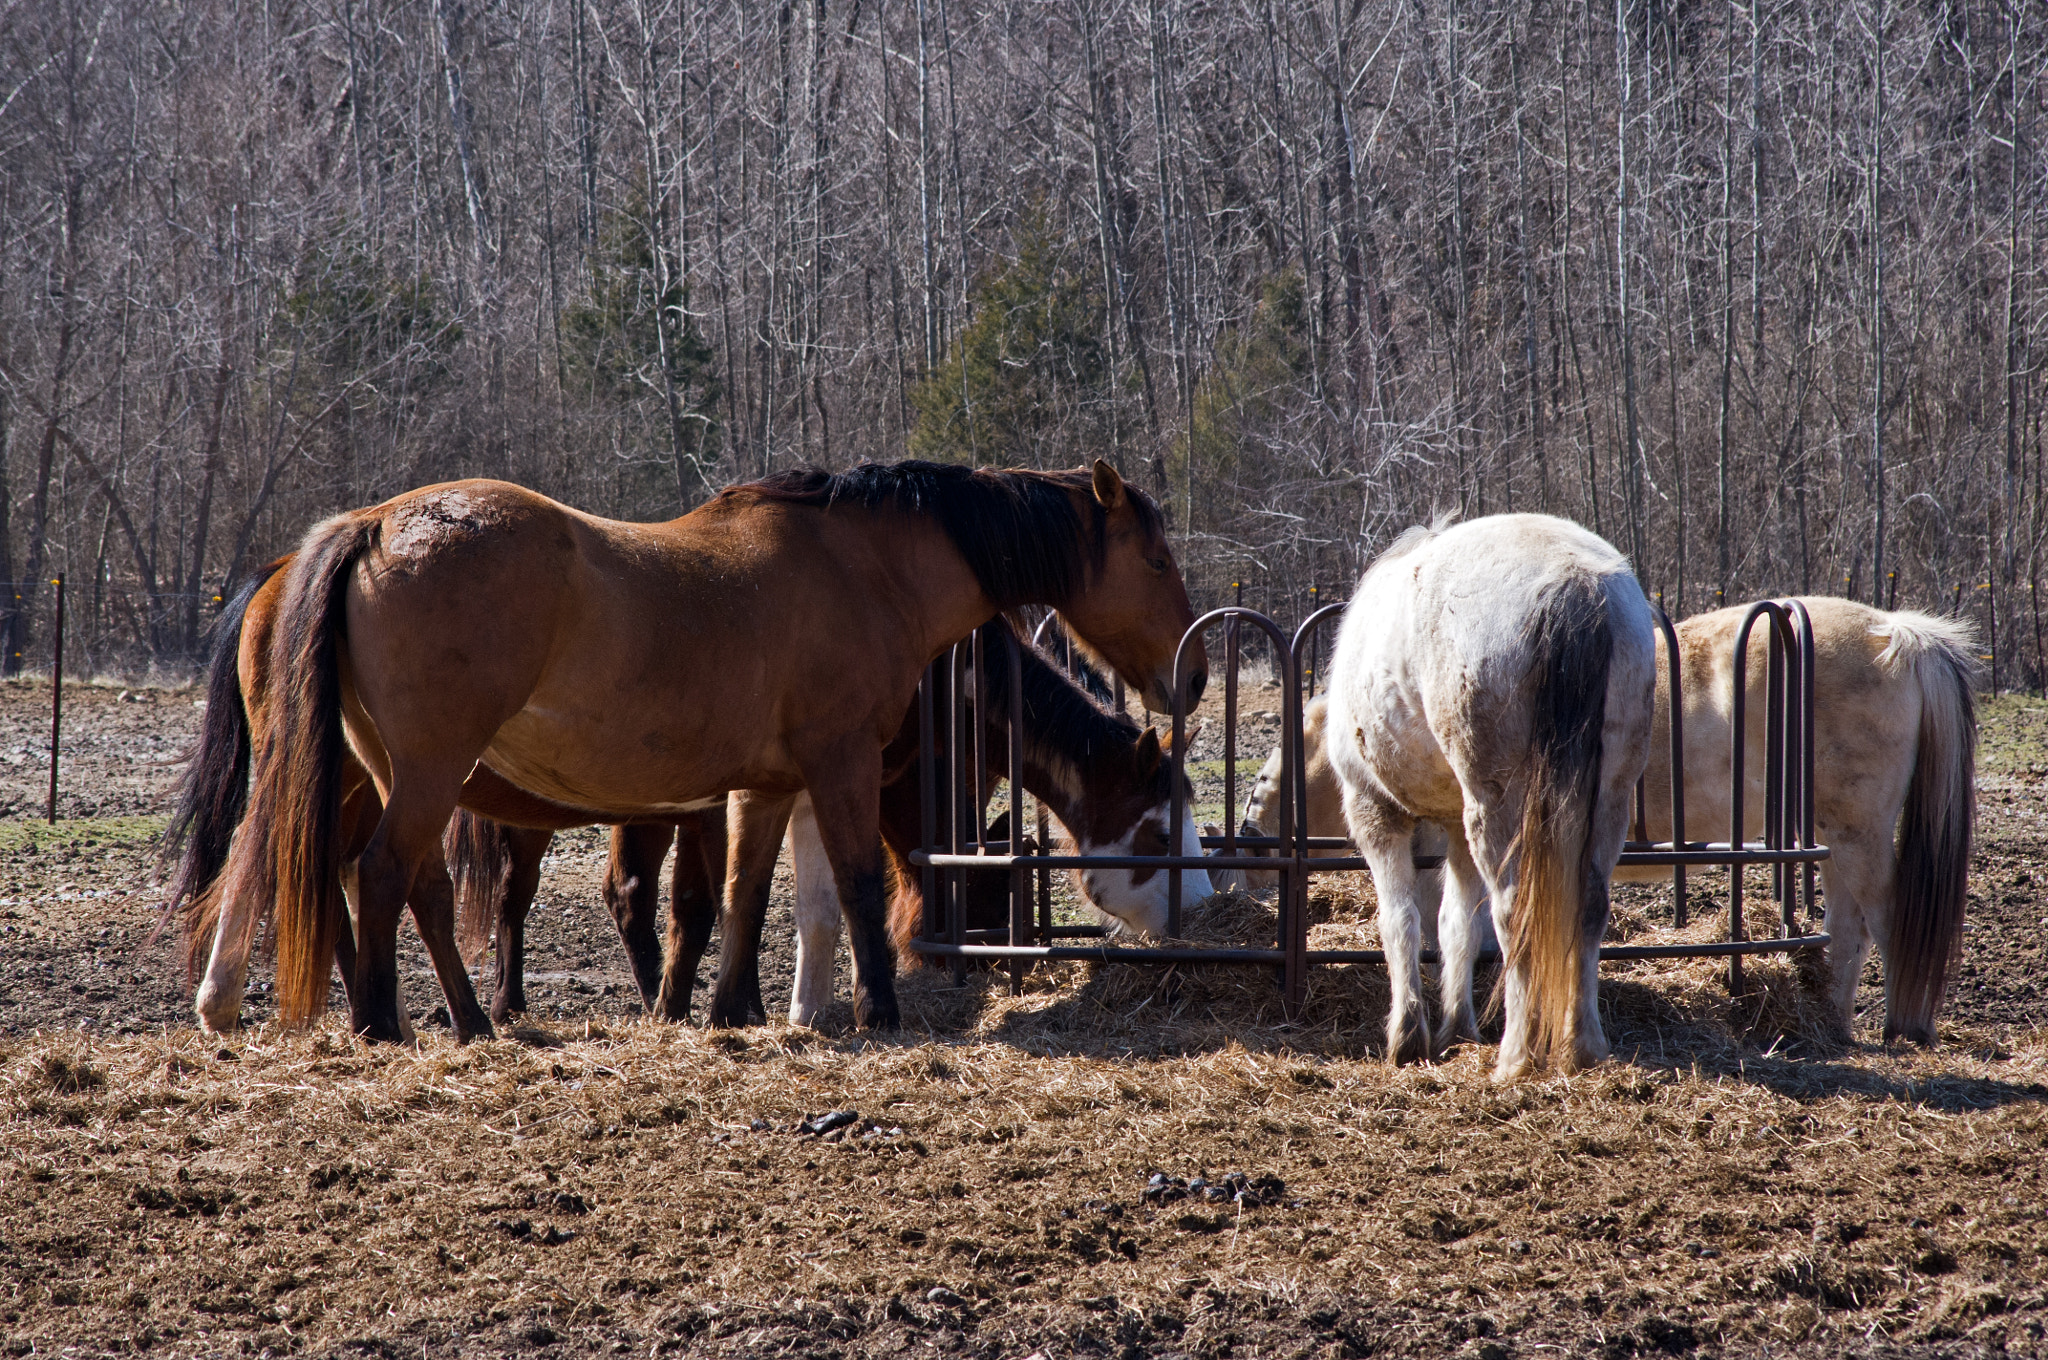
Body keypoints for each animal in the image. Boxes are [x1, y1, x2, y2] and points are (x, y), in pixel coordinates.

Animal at [1236, 593, 1974, 1048]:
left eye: (1263, 786)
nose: (1245, 862)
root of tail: (1897, 634)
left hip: (1859, 832)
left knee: (1885, 918)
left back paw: (1902, 1026)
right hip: (1836, 835)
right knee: (1849, 930)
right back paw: (1836, 1021)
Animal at [1318, 516, 1654, 1081]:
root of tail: (1572, 582)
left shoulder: (1375, 813)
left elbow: (1400, 921)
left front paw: (1406, 1038)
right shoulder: (1456, 826)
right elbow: (1456, 925)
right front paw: (1456, 1029)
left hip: (1498, 807)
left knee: (1513, 911)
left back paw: (1516, 1056)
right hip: (1608, 799)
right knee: (1589, 907)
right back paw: (1582, 1048)